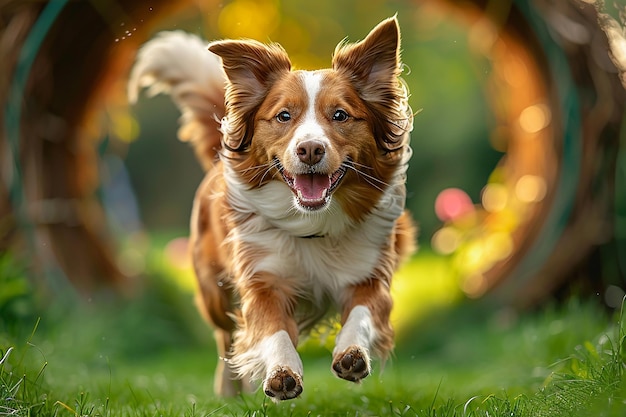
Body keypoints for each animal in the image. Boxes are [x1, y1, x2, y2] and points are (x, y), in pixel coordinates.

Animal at [128, 16, 414, 400]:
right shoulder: (262, 278)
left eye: (340, 115)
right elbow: (270, 329)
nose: (310, 149)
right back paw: (230, 391)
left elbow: (362, 315)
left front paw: (352, 353)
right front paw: (281, 372)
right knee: (228, 337)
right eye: (283, 116)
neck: (312, 224)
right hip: (213, 292)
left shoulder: (370, 274)